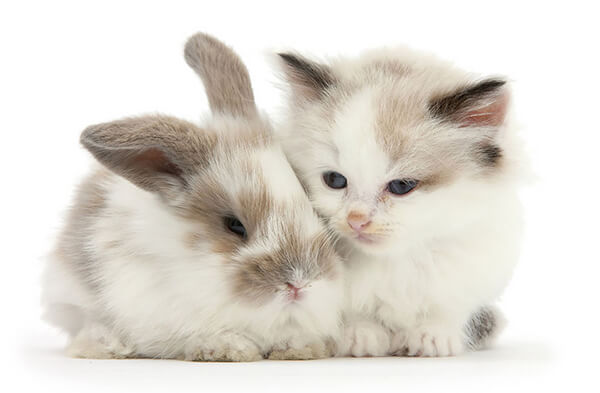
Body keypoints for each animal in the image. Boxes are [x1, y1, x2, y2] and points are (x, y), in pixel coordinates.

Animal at [276, 47, 524, 356]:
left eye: (401, 186)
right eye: (334, 180)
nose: (356, 220)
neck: (394, 261)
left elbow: (448, 309)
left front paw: (433, 336)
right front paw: (360, 334)